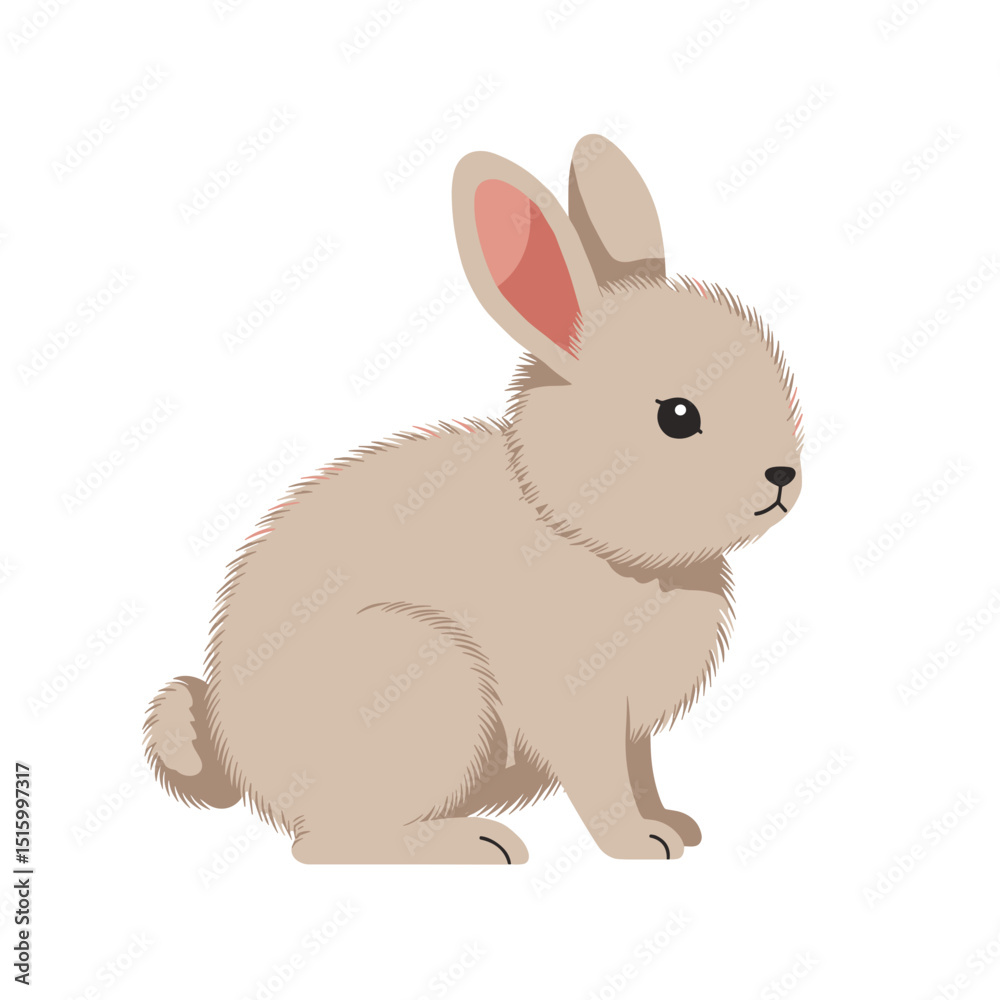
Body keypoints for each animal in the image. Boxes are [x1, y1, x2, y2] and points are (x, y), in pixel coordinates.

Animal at [144, 135, 802, 864]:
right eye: (678, 416)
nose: (783, 476)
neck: (578, 530)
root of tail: (236, 755)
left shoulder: (632, 731)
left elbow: (641, 774)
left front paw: (674, 826)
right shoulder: (578, 709)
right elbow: (603, 782)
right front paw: (640, 842)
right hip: (424, 676)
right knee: (327, 843)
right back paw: (479, 844)